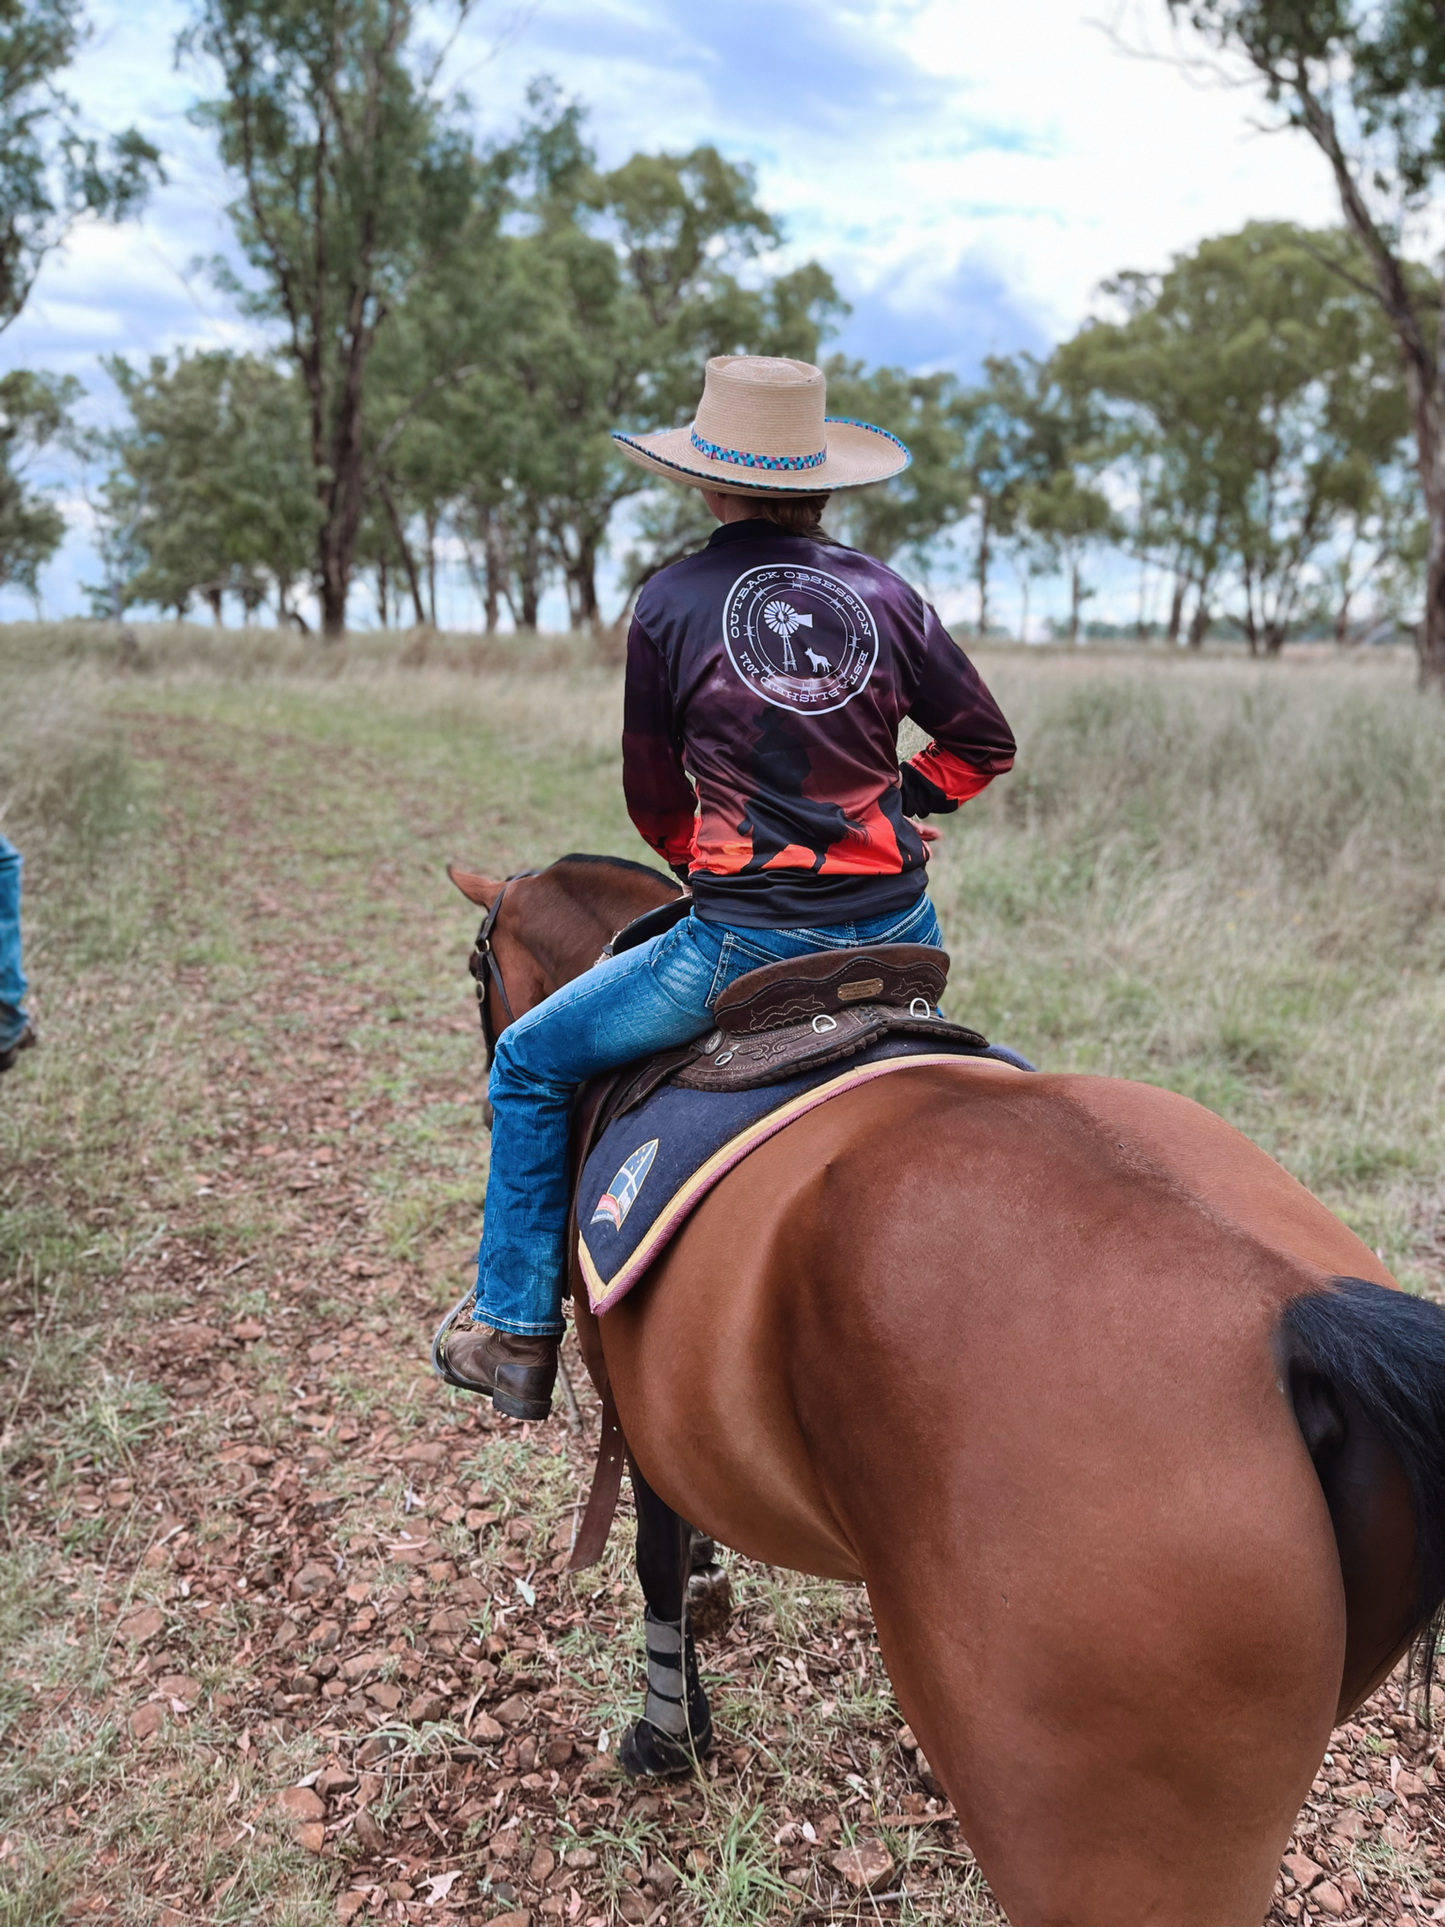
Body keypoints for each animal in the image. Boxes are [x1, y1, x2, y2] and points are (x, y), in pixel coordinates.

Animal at [445, 855, 1445, 1927]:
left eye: (477, 972)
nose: (486, 1094)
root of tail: (1289, 1311)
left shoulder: (630, 1405)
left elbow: (655, 1558)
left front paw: (669, 1733)